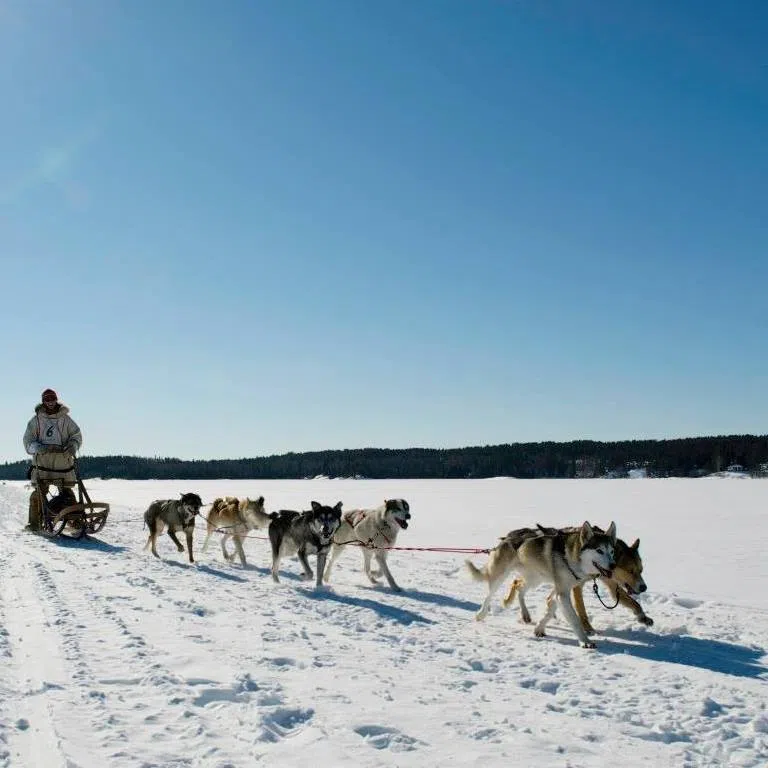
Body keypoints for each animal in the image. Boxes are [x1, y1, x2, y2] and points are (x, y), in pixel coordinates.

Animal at [462, 520, 616, 648]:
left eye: (612, 551)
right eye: (599, 550)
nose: (613, 565)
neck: (571, 556)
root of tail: (506, 538)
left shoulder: (560, 590)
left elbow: (550, 606)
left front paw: (539, 628)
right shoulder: (562, 592)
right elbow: (574, 619)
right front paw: (585, 641)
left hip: (535, 579)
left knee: (519, 587)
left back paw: (525, 614)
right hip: (501, 576)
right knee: (489, 594)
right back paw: (481, 614)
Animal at [504, 524, 656, 632]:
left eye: (641, 570)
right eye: (630, 571)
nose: (644, 587)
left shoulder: (612, 585)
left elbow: (635, 603)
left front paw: (643, 617)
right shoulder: (577, 586)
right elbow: (581, 609)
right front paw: (588, 629)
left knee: (518, 583)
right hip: (537, 576)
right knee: (516, 583)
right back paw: (518, 608)